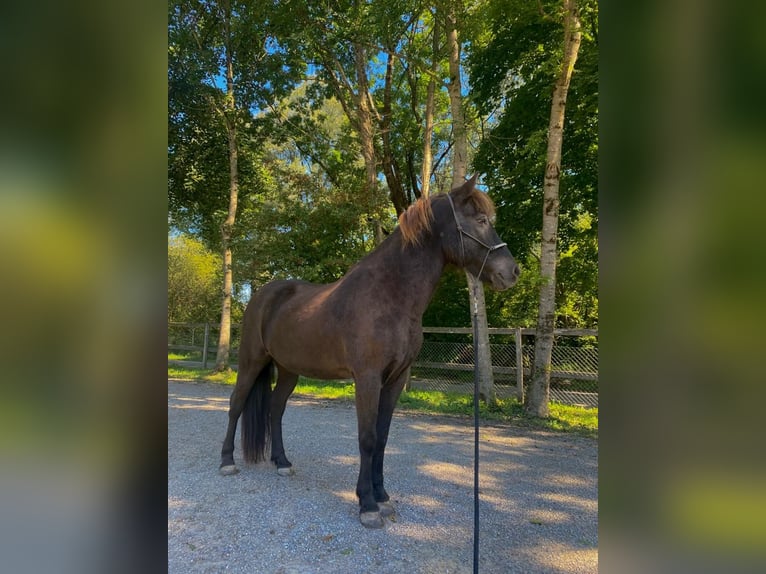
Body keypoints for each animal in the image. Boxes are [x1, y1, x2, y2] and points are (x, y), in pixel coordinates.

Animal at [222, 177, 520, 532]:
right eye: (481, 220)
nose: (512, 272)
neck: (389, 298)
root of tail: (263, 295)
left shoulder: (395, 379)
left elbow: (382, 438)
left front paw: (382, 495)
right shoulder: (367, 379)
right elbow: (366, 437)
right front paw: (367, 504)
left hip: (289, 369)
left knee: (275, 409)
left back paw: (282, 462)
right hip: (251, 362)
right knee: (236, 404)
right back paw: (226, 461)